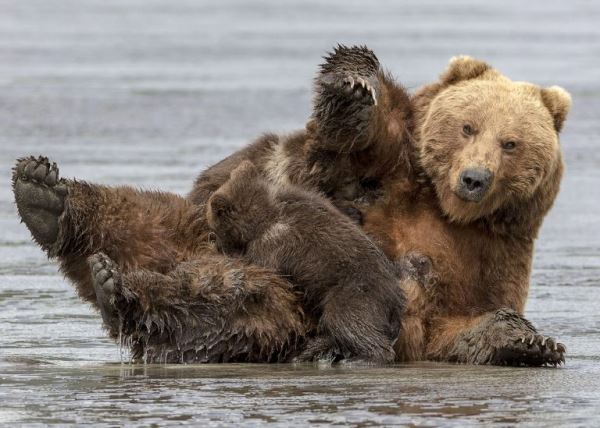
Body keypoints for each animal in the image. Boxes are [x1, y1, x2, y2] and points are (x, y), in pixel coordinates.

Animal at [206, 160, 408, 362]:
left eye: (215, 228)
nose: (217, 243)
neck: (263, 216)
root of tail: (396, 300)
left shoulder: (273, 245)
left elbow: (262, 264)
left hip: (354, 291)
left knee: (349, 322)